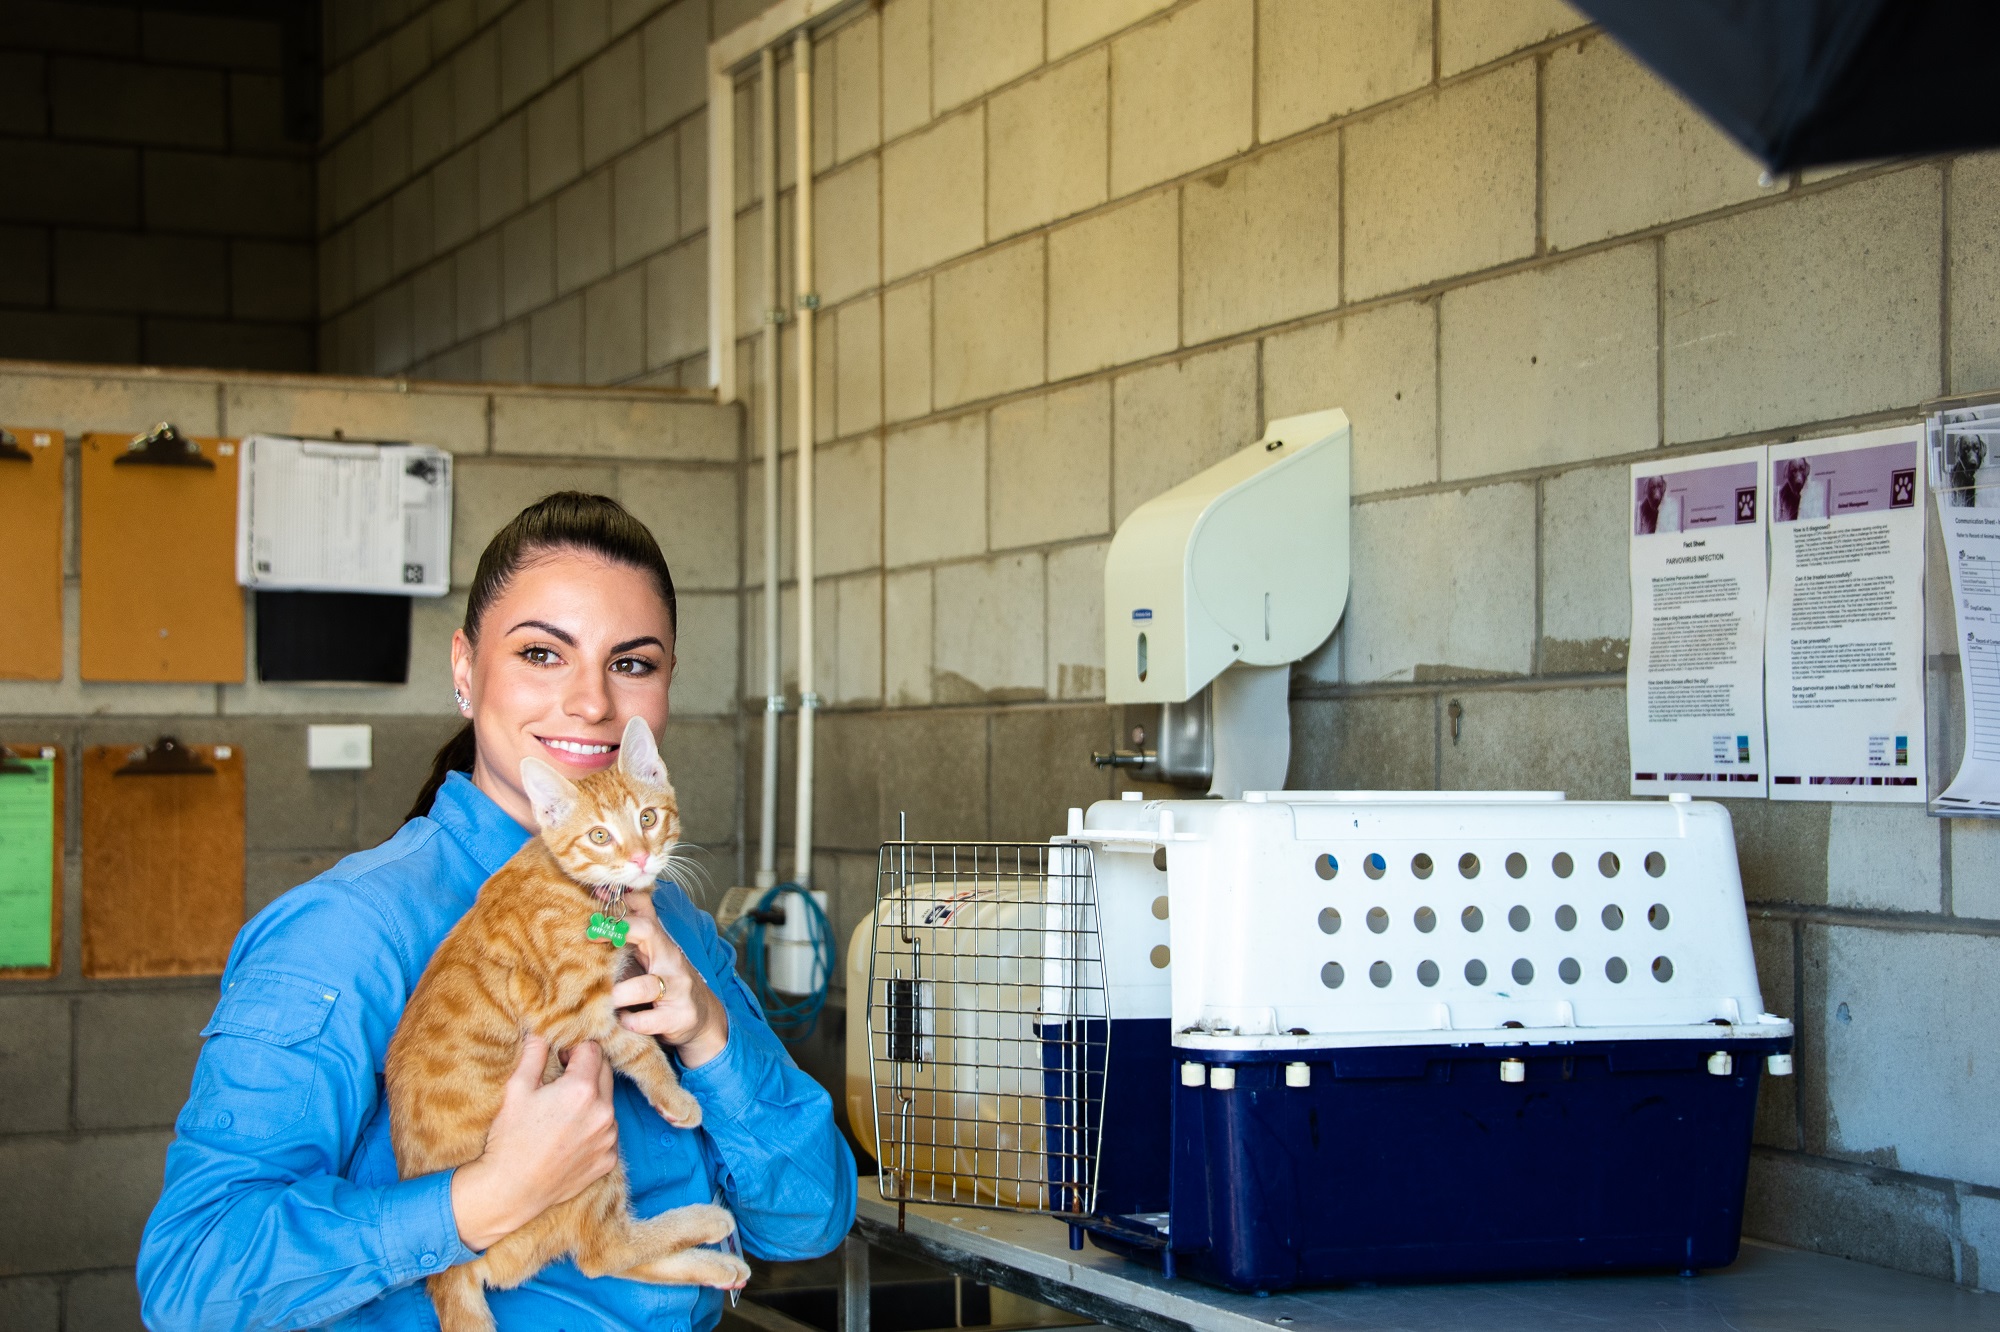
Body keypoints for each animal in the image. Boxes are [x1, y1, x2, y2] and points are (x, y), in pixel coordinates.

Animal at [386, 716, 748, 1328]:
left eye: (647, 818)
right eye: (599, 836)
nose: (640, 858)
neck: (580, 890)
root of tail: (449, 1272)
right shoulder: (570, 1014)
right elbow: (640, 1050)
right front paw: (677, 1100)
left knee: (605, 1259)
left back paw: (714, 1256)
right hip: (585, 1165)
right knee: (603, 1252)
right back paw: (708, 1227)